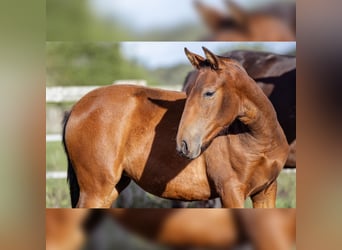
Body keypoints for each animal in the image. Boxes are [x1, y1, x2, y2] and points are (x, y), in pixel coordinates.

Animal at [62, 47, 288, 208]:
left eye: (209, 93)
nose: (184, 144)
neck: (257, 141)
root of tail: (77, 107)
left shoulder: (266, 192)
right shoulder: (231, 193)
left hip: (111, 189)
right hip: (96, 191)